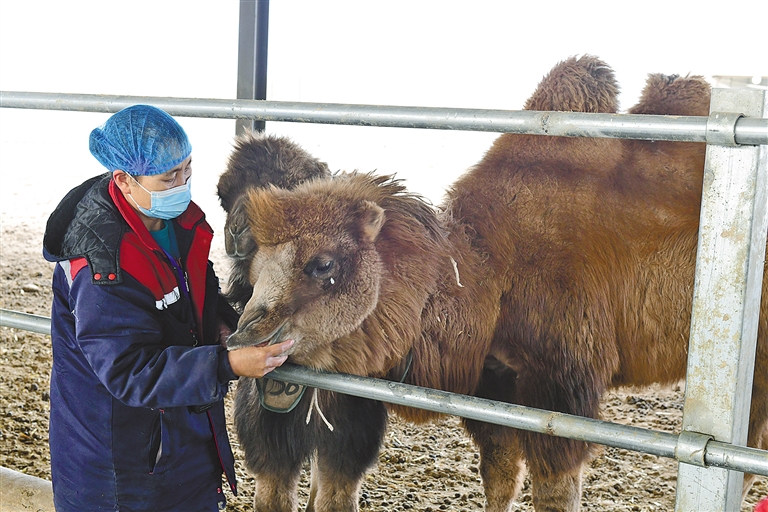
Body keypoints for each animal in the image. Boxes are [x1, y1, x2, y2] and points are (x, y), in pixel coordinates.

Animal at [224, 56, 767, 512]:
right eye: (254, 264)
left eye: (323, 264)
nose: (244, 334)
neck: (490, 275)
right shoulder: (496, 383)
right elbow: (501, 476)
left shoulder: (561, 386)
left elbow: (554, 490)